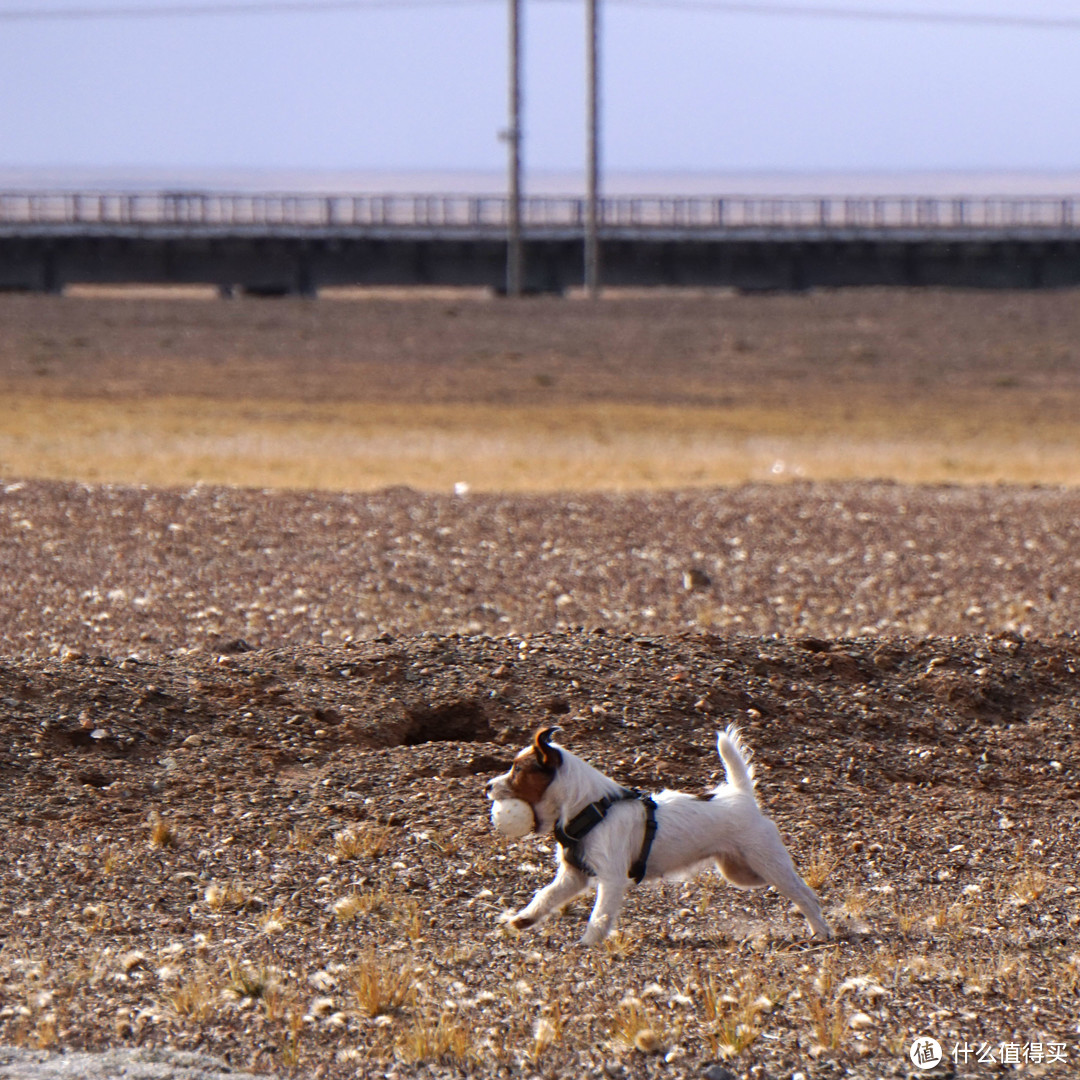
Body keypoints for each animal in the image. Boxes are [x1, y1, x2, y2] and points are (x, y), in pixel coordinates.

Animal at [486, 725, 829, 946]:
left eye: (516, 769)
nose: (487, 786)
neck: (591, 806)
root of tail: (740, 795)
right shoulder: (573, 875)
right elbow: (546, 895)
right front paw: (523, 919)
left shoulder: (611, 878)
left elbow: (600, 914)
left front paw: (587, 942)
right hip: (741, 872)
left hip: (766, 862)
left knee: (804, 893)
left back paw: (821, 931)